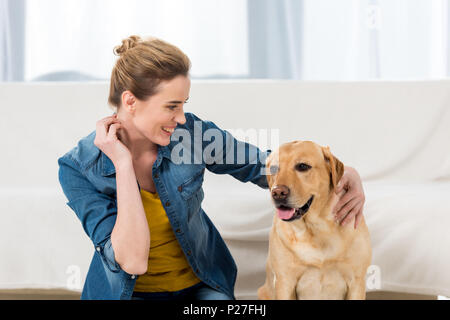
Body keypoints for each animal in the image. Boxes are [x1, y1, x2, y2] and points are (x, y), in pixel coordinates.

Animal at [258, 141, 370, 298]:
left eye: (302, 166)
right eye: (274, 168)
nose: (278, 193)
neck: (317, 229)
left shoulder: (357, 282)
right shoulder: (285, 282)